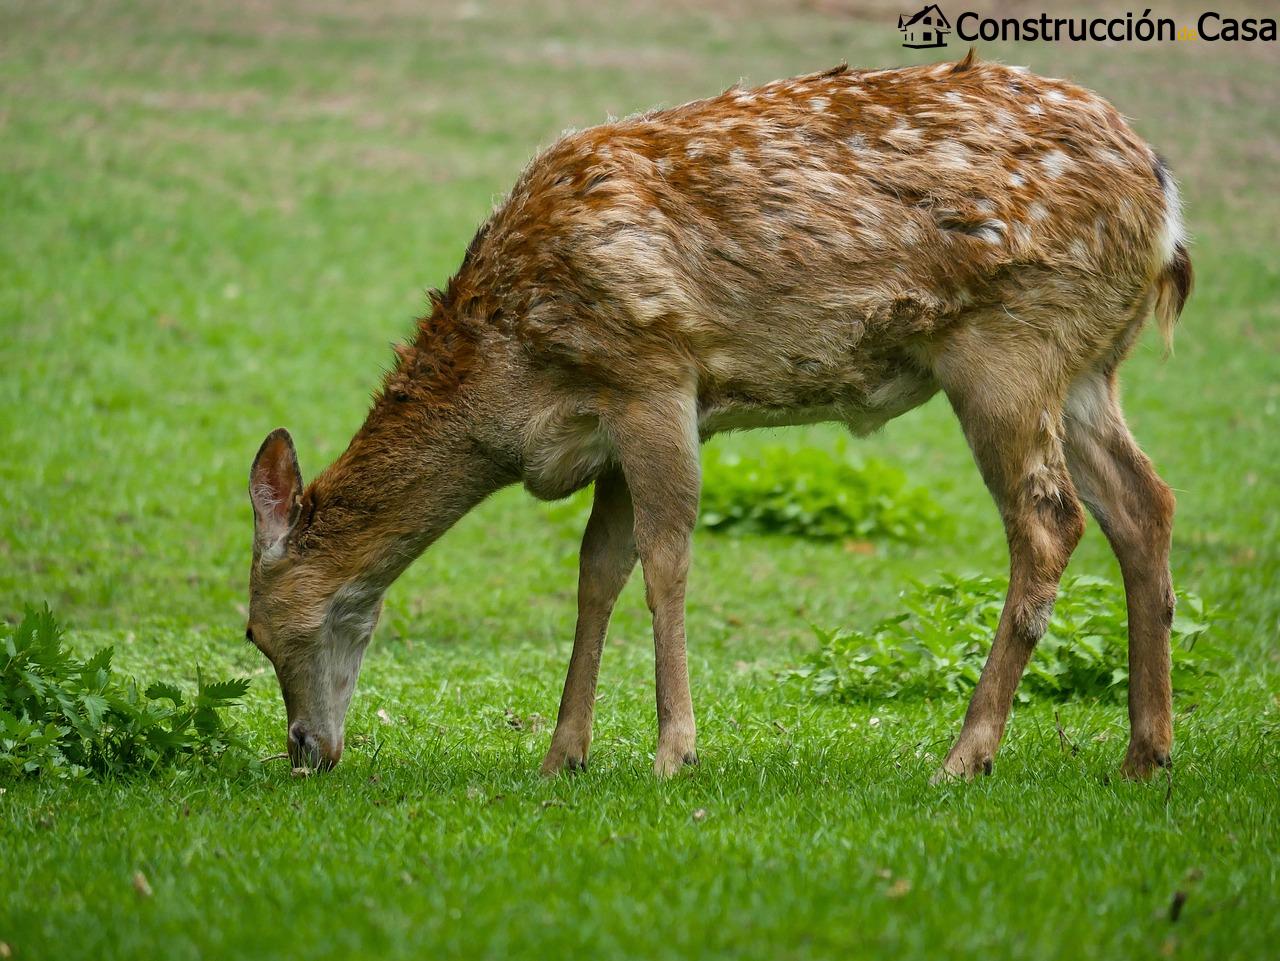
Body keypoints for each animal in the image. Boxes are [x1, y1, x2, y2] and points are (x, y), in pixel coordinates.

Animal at [247, 50, 1187, 783]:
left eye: (257, 629)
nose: (303, 749)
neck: (509, 383)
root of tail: (1167, 211)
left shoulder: (653, 372)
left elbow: (666, 555)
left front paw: (675, 750)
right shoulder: (610, 421)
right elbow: (598, 569)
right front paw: (562, 755)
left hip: (1010, 344)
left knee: (1049, 521)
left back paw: (966, 754)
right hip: (1087, 365)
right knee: (1144, 502)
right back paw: (1145, 753)